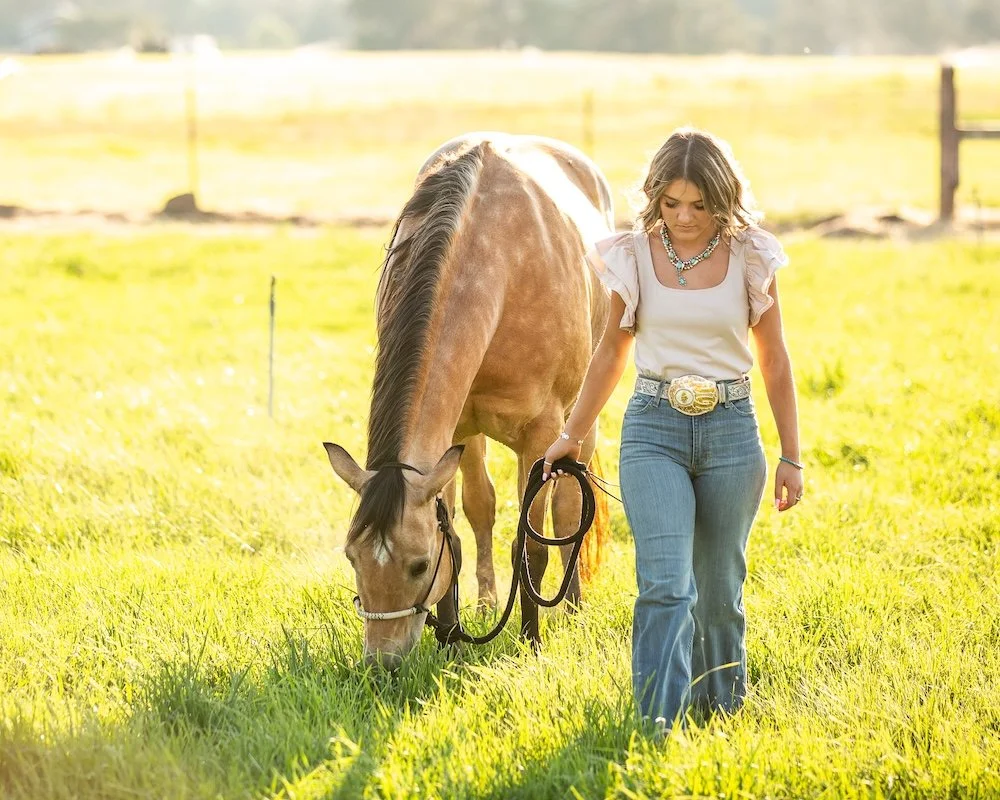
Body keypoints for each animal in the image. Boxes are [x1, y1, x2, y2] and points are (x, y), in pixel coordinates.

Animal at [324, 132, 613, 668]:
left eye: (418, 566)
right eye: (352, 556)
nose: (381, 664)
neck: (497, 264)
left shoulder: (541, 439)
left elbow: (533, 547)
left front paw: (531, 642)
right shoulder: (453, 434)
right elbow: (459, 531)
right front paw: (452, 639)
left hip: (582, 420)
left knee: (568, 511)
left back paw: (574, 608)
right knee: (483, 508)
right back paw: (485, 604)